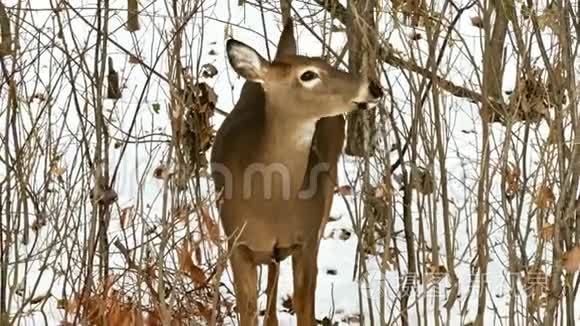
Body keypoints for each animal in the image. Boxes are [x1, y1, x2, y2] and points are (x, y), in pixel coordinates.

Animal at [211, 19, 382, 324]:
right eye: (308, 74)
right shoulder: (238, 244)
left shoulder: (307, 240)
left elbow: (305, 308)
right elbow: (248, 311)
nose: (373, 88)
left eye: (326, 62)